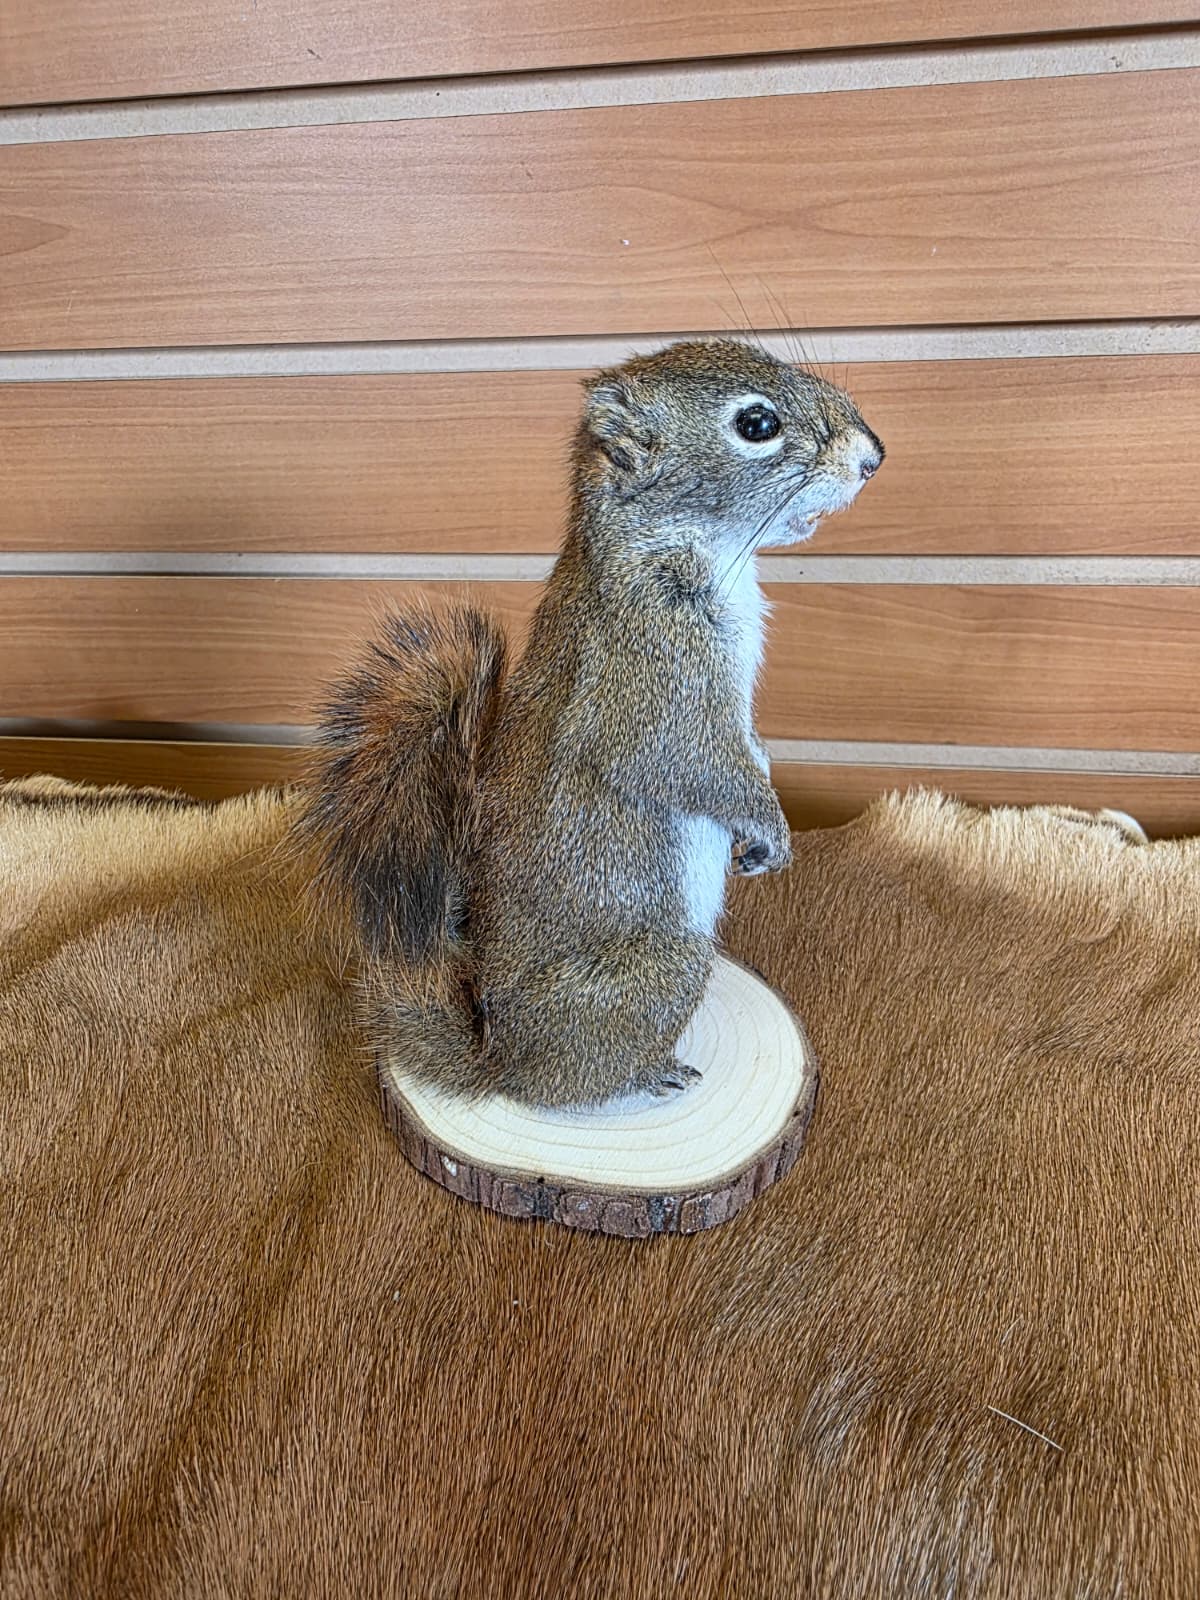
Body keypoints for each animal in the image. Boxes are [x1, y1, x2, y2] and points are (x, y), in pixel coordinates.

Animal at [299, 338, 883, 1107]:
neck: (698, 548)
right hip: (663, 966)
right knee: (576, 1083)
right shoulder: (650, 676)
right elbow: (686, 762)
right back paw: (650, 1071)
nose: (873, 456)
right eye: (756, 424)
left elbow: (747, 749)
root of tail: (502, 1059)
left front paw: (759, 813)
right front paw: (771, 826)